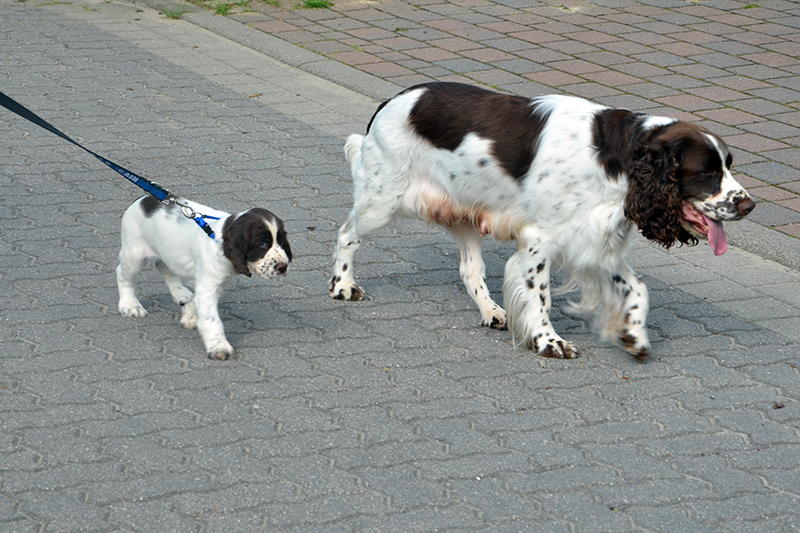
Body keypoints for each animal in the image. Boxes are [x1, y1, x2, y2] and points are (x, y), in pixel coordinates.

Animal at [117, 193, 292, 360]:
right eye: (262, 244)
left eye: (281, 241)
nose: (283, 267)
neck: (219, 239)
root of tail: (142, 199)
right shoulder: (208, 285)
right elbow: (211, 319)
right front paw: (219, 347)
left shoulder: (214, 284)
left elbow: (198, 302)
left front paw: (189, 316)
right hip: (135, 254)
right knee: (122, 274)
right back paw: (130, 305)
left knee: (164, 266)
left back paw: (181, 293)